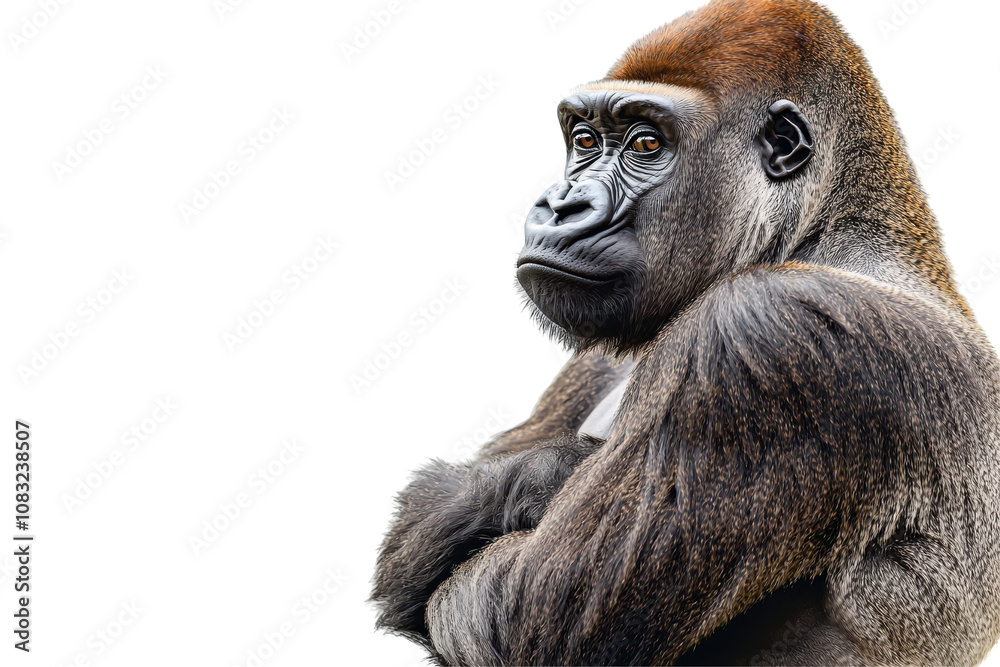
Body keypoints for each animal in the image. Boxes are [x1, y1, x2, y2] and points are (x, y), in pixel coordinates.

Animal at [371, 0, 1000, 664]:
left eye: (647, 143)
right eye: (584, 139)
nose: (560, 205)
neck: (822, 226)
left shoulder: (764, 327)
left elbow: (520, 613)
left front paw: (529, 478)